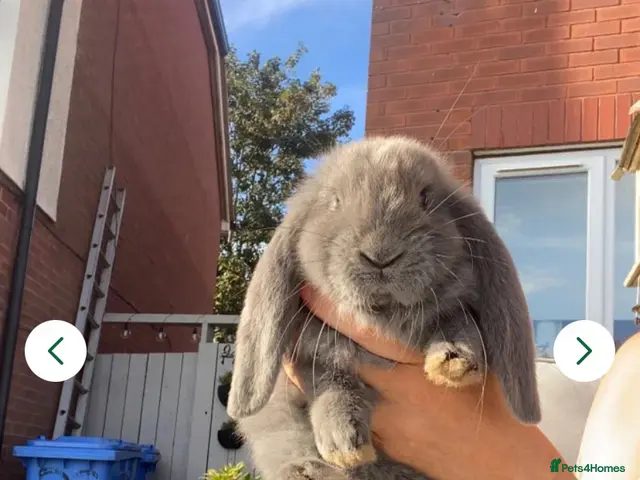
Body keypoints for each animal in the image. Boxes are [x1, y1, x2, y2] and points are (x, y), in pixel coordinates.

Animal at [227, 136, 541, 480]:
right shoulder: (313, 353)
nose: (380, 256)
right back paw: (307, 470)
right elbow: (331, 381)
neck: (384, 317)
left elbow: (458, 320)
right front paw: (343, 442)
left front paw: (453, 358)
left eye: (425, 197)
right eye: (335, 201)